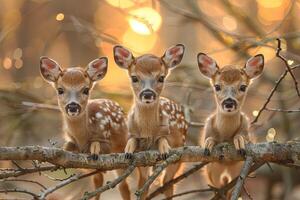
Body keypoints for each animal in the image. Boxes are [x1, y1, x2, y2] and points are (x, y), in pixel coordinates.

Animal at [39, 56, 130, 200]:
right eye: (60, 90)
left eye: (86, 90)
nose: (73, 106)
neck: (82, 137)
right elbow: (69, 146)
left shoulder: (107, 138)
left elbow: (100, 145)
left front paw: (94, 149)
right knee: (114, 184)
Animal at [113, 44, 188, 198]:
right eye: (134, 78)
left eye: (161, 77)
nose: (147, 94)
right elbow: (132, 140)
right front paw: (128, 150)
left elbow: (163, 139)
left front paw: (164, 147)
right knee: (144, 186)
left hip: (179, 155)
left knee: (167, 184)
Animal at [198, 52, 264, 197]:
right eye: (217, 86)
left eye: (243, 87)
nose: (228, 103)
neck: (225, 133)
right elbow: (208, 139)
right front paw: (209, 143)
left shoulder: (246, 128)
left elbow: (243, 137)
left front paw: (239, 141)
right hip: (211, 172)